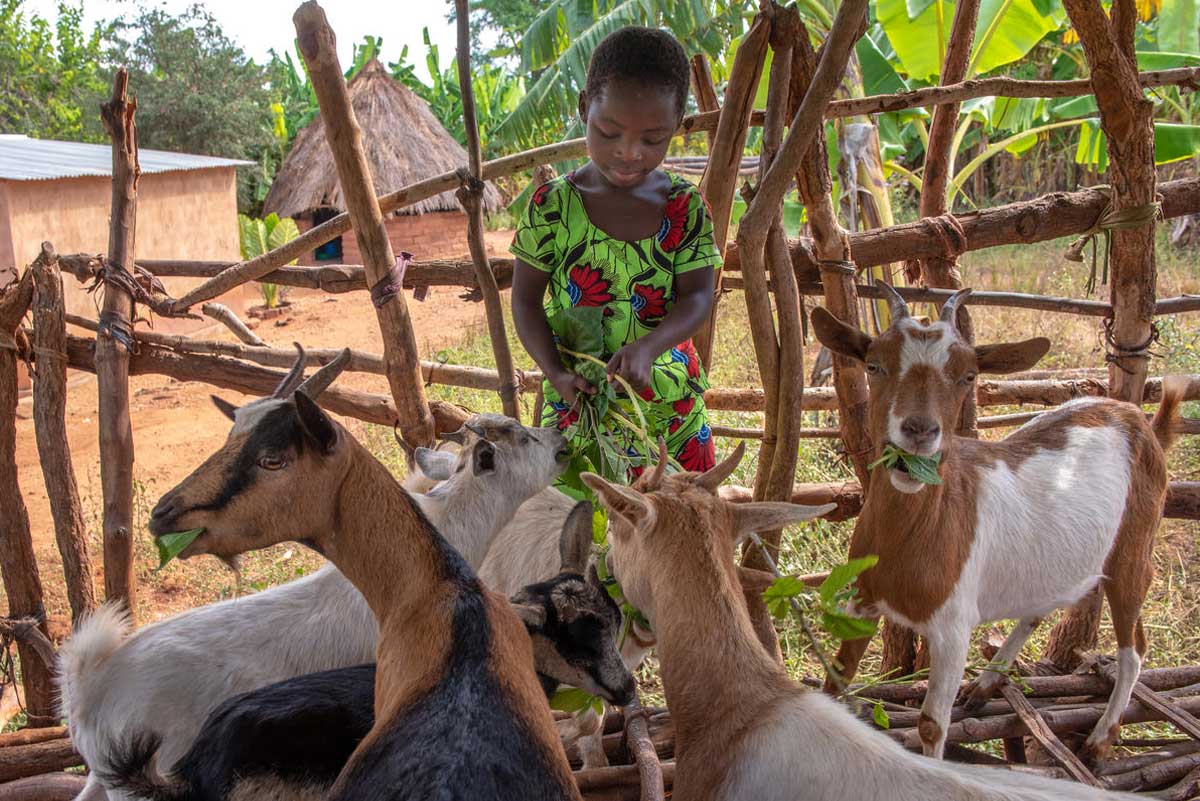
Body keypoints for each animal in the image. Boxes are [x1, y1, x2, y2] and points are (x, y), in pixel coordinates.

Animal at [806, 284, 1180, 762]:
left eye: (969, 376)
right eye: (874, 365)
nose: (919, 430)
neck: (917, 531)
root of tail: (1141, 421)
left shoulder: (952, 628)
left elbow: (930, 725)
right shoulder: (864, 599)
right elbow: (835, 682)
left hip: (1135, 545)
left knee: (1134, 649)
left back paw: (1099, 740)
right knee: (1040, 607)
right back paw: (985, 684)